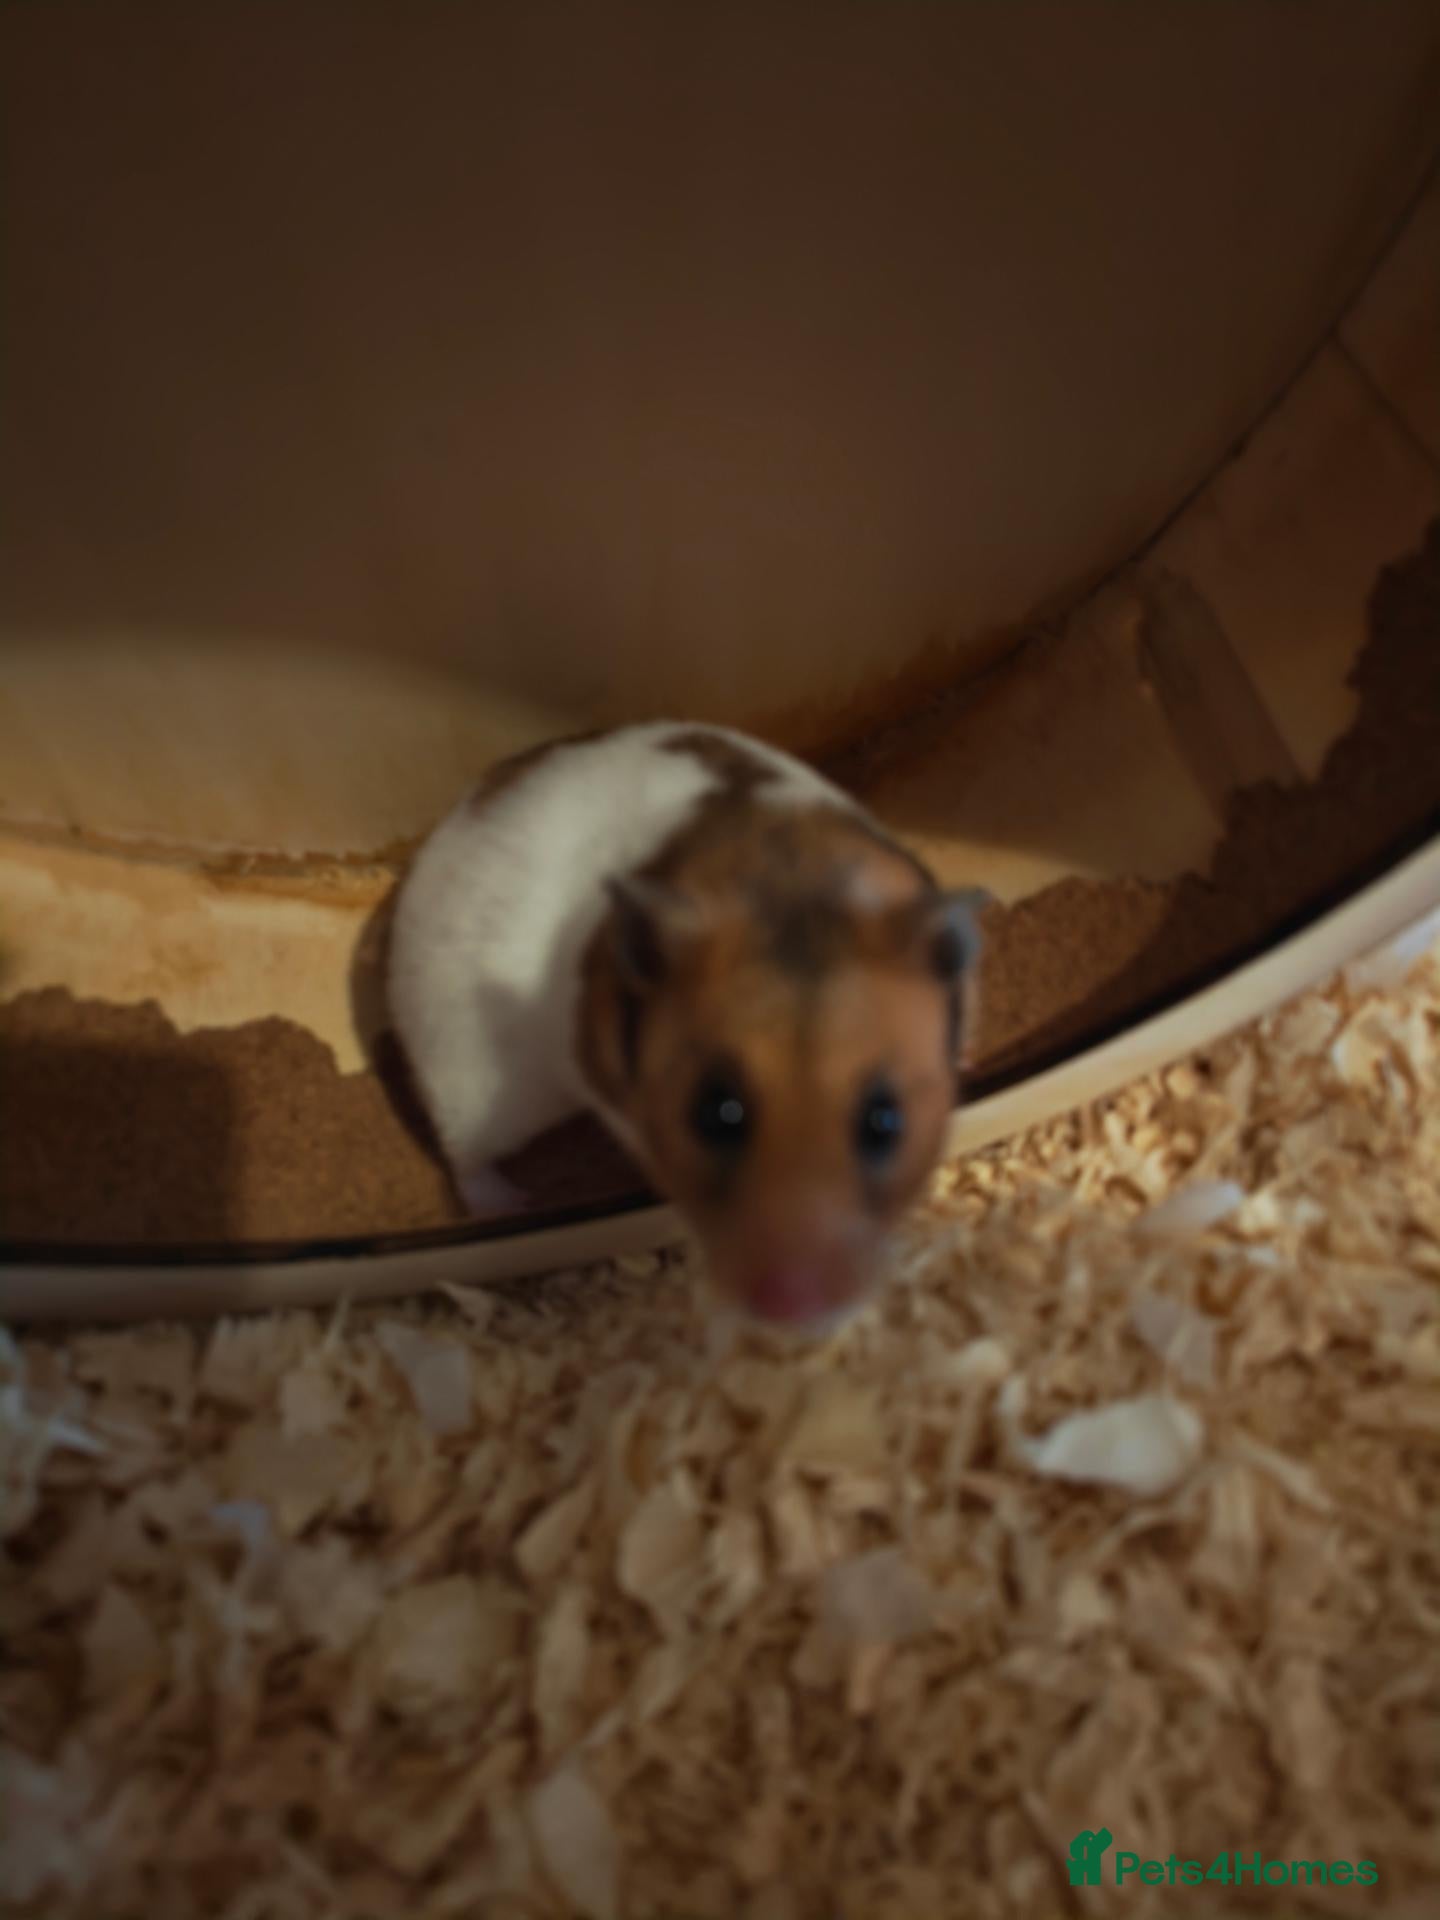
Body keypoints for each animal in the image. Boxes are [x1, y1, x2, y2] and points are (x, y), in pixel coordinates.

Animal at [386, 721, 986, 1334]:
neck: (788, 884)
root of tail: (448, 831)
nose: (793, 1309)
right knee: (465, 1159)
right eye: (716, 1114)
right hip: (468, 1081)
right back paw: (513, 1203)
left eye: (884, 1122)